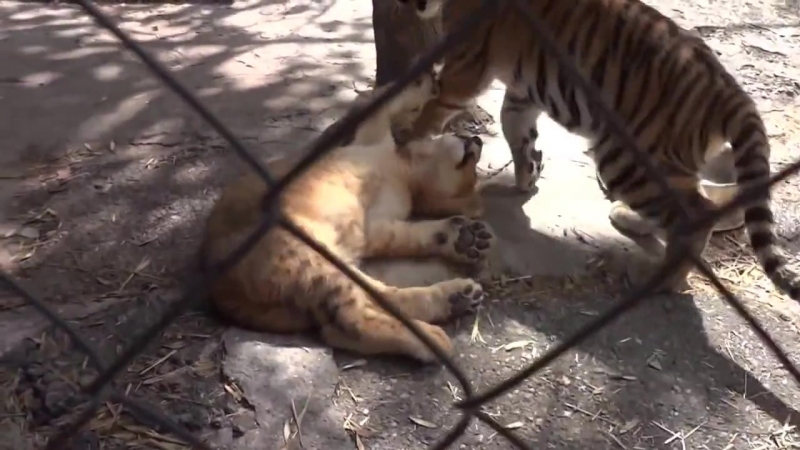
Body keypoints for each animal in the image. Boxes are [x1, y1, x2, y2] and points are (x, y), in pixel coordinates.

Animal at [200, 72, 496, 363]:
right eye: (472, 171)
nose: (479, 141)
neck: (403, 172)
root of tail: (219, 288)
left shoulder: (376, 227)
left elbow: (415, 236)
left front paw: (464, 239)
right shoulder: (370, 133)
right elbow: (386, 100)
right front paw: (425, 81)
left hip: (322, 263)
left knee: (354, 318)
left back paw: (452, 304)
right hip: (310, 254)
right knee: (352, 318)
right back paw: (439, 326)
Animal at [393, 0, 800, 299]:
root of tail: (728, 87)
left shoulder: (463, 71)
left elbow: (431, 112)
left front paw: (405, 139)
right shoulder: (523, 91)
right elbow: (518, 132)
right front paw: (527, 178)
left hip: (625, 158)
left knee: (695, 212)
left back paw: (659, 280)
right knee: (696, 204)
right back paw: (630, 221)